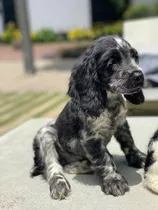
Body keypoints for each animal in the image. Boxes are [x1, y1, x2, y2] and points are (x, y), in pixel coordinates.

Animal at [30, 35, 146, 199]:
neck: (109, 101)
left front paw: (140, 158)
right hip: (46, 134)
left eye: (135, 57)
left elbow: (128, 142)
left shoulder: (122, 123)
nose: (139, 75)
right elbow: (104, 158)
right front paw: (113, 180)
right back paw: (60, 183)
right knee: (54, 167)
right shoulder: (91, 137)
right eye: (112, 62)